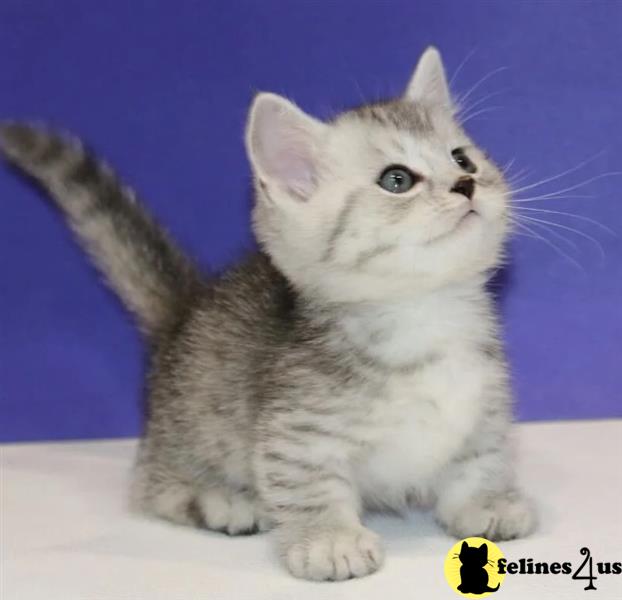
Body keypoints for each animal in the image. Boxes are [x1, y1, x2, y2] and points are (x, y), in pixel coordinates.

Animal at [0, 48, 536, 580]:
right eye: (397, 180)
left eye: (462, 158)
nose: (466, 183)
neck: (426, 314)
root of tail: (184, 311)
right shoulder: (297, 430)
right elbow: (308, 485)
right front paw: (328, 540)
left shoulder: (485, 408)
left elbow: (482, 459)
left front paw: (489, 501)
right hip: (188, 434)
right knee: (152, 488)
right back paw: (221, 500)